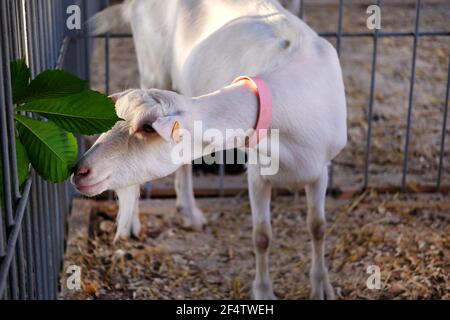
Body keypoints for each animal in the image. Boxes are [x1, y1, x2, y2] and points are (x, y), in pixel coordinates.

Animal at [74, 0, 348, 300]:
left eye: (146, 127)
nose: (79, 171)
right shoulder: (257, 172)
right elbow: (261, 236)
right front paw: (263, 292)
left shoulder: (321, 169)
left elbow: (318, 227)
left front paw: (322, 286)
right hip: (152, 65)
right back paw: (132, 223)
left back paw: (189, 212)